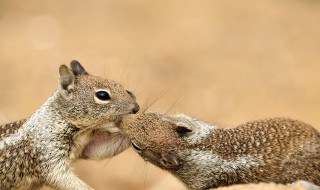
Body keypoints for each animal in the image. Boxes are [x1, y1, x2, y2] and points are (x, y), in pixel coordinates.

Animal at [0, 60, 139, 190]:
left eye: (125, 89)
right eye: (102, 95)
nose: (136, 108)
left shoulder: (88, 145)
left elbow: (101, 149)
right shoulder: (48, 149)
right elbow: (58, 176)